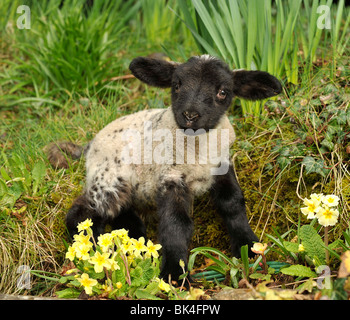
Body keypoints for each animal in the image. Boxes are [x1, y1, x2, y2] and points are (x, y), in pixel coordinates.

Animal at [48, 55, 282, 280]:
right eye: (176, 85)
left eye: (223, 92)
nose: (190, 116)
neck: (197, 153)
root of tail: (89, 145)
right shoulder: (170, 177)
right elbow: (176, 223)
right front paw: (174, 274)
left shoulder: (221, 167)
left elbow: (233, 203)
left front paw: (250, 249)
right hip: (108, 178)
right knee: (81, 214)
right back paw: (96, 249)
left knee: (121, 215)